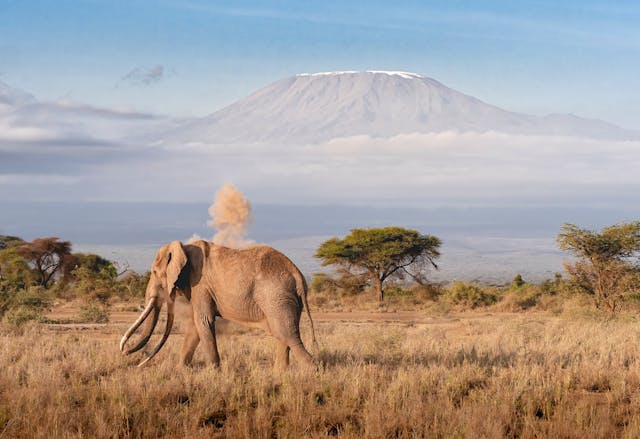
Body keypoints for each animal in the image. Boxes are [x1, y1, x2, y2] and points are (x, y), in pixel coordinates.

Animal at [120, 240, 316, 369]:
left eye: (154, 272)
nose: (136, 362)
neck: (184, 247)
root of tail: (298, 275)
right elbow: (195, 326)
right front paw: (181, 370)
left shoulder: (200, 285)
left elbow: (203, 321)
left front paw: (214, 372)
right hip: (284, 299)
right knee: (283, 334)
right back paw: (280, 374)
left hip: (276, 297)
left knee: (287, 334)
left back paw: (312, 371)